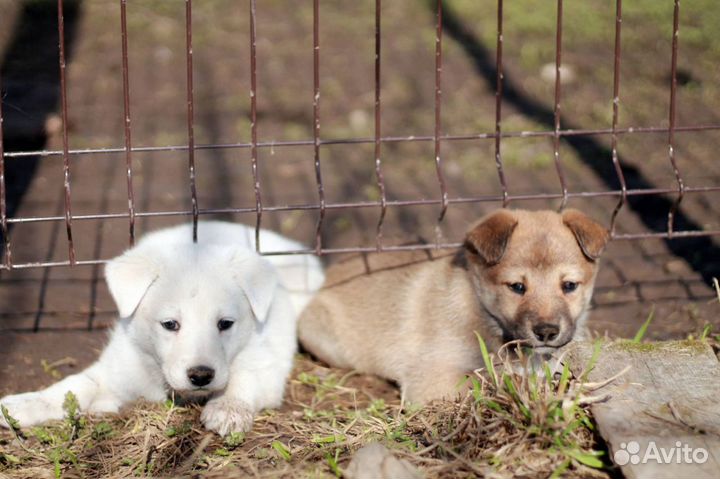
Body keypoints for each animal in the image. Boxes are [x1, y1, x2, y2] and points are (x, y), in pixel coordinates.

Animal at [0, 223, 322, 436]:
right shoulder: (117, 370)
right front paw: (23, 404)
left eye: (225, 324)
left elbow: (243, 380)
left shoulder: (264, 362)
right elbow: (74, 385)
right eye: (170, 325)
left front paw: (228, 408)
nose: (201, 376)